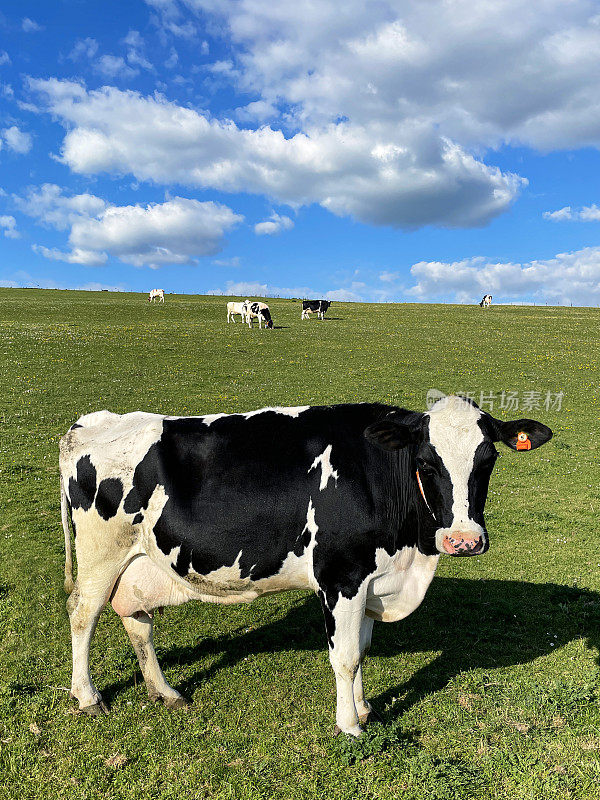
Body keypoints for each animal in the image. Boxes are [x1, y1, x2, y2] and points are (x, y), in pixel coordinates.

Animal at [58, 396, 552, 736]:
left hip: (138, 562)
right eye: (426, 463)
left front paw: (364, 708)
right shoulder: (341, 578)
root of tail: (91, 423)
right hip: (101, 555)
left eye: (488, 460)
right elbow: (345, 656)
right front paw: (350, 725)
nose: (463, 540)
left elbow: (361, 649)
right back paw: (87, 696)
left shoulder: (371, 579)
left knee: (136, 620)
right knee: (83, 613)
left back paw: (164, 691)